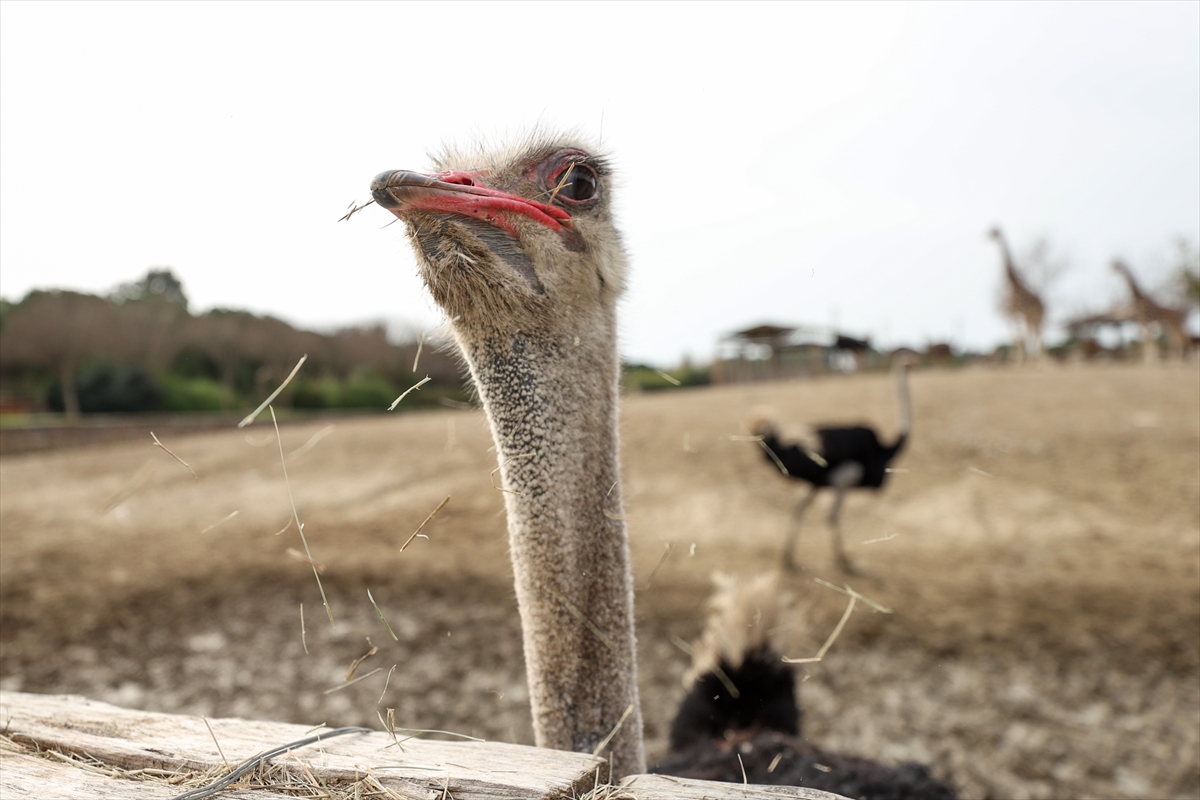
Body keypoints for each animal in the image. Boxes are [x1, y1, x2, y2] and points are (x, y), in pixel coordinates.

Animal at [988, 225, 1046, 362]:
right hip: (1033, 317)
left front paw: (1019, 360)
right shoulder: (1016, 314)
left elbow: (1019, 338)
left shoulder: (1014, 313)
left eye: (994, 231)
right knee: (1035, 333)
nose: (986, 236)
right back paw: (1036, 359)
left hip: (1035, 316)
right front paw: (1019, 360)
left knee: (1036, 333)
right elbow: (1019, 337)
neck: (1014, 285)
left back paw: (1037, 360)